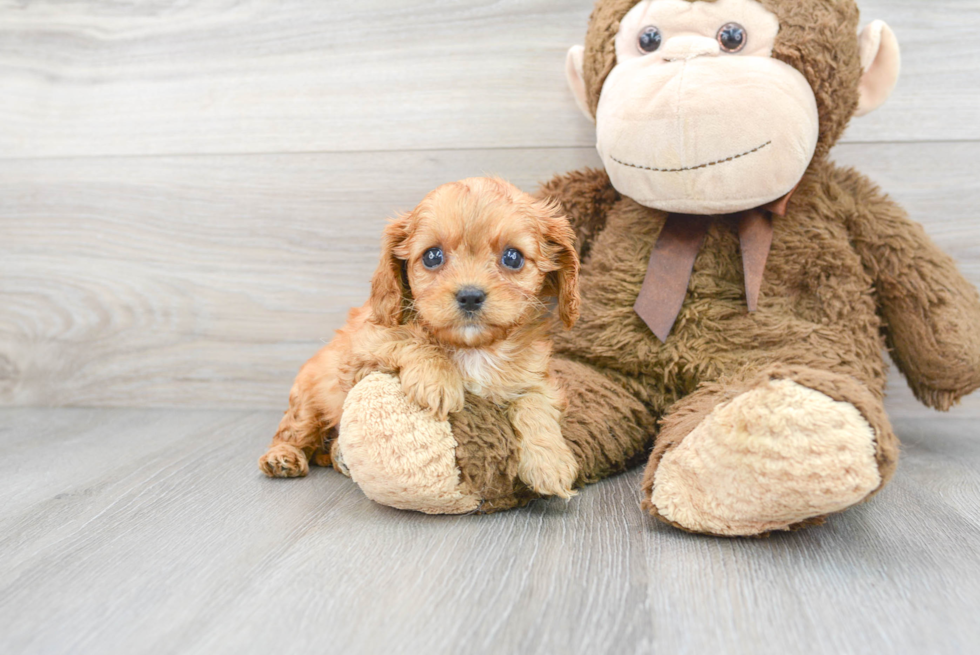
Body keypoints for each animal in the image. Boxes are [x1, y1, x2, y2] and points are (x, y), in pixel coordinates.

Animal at [258, 177, 580, 500]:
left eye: (513, 257)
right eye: (432, 256)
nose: (470, 296)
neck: (472, 349)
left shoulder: (535, 377)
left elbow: (535, 403)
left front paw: (550, 462)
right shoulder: (360, 351)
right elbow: (409, 339)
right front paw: (438, 381)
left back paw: (337, 455)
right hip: (308, 400)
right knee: (292, 431)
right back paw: (282, 457)